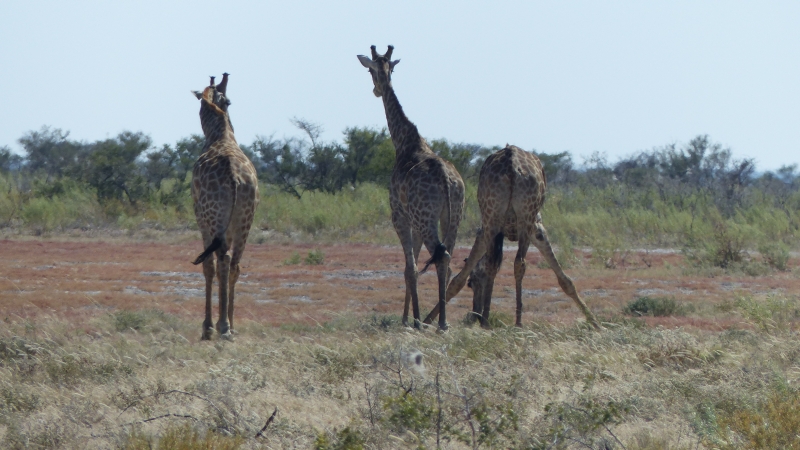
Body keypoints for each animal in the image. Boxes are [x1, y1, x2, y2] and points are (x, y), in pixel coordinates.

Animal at [191, 74, 260, 342]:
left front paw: (207, 326)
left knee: (221, 260)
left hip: (214, 219)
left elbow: (208, 266)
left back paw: (219, 326)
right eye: (228, 100)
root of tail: (233, 177)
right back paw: (229, 325)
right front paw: (229, 323)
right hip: (245, 221)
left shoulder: (201, 220)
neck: (219, 135)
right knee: (235, 263)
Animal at [354, 45, 462, 330]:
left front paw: (412, 320)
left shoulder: (399, 215)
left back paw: (440, 324)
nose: (376, 89)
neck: (404, 143)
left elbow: (409, 268)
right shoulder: (413, 220)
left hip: (426, 218)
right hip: (453, 217)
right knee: (448, 258)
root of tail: (446, 179)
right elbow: (410, 267)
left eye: (369, 70)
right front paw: (407, 318)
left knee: (440, 257)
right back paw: (443, 321)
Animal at [424, 145, 600, 330]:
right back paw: (513, 322)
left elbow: (565, 280)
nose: (474, 316)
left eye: (472, 283)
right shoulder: (532, 229)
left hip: (502, 217)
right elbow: (459, 279)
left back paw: (495, 321)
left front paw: (595, 322)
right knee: (516, 263)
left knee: (507, 263)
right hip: (519, 217)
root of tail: (511, 165)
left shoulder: (526, 230)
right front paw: (427, 319)